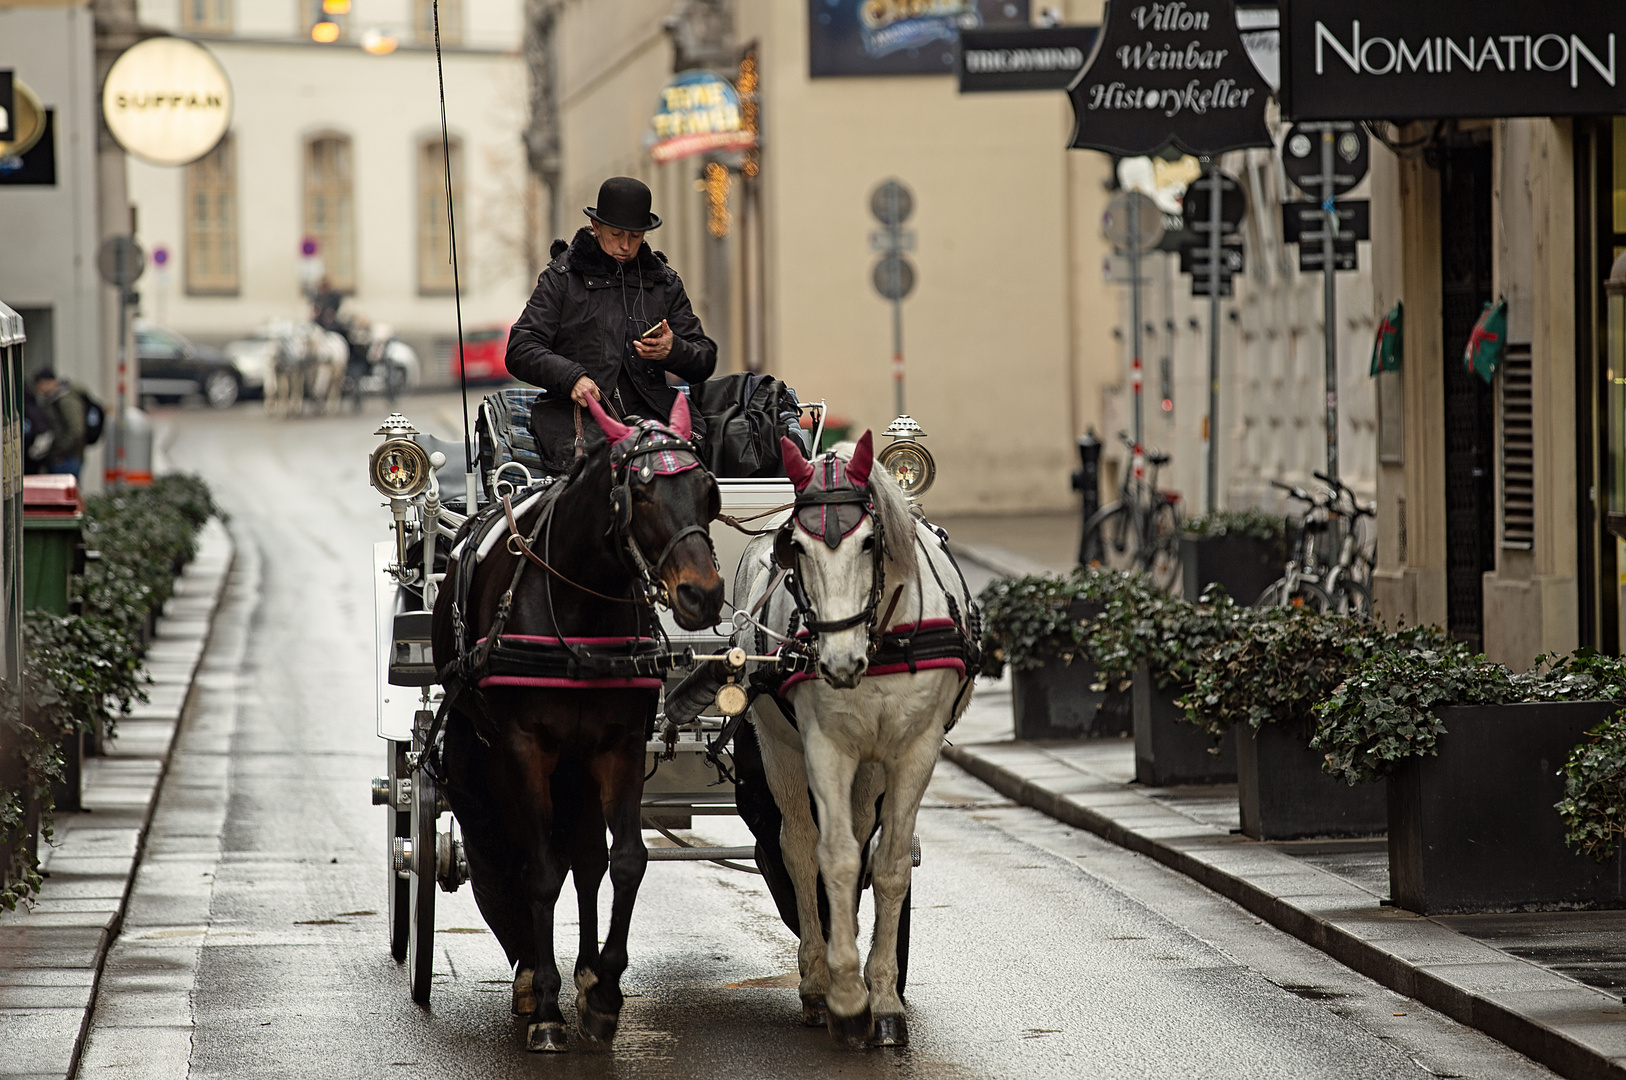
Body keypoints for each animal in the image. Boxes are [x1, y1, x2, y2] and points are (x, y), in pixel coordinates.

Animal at [432, 395, 718, 1047]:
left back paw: (584, 973)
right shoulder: (523, 748)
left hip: (578, 764)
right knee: (523, 852)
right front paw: (546, 1007)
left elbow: (625, 860)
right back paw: (533, 976)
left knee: (587, 860)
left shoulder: (618, 744)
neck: (582, 606)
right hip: (498, 752)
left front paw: (604, 991)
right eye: (641, 494)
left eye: (708, 491)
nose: (705, 595)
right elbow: (538, 867)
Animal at [738, 429, 975, 1047]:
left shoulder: (915, 751)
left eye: (869, 542)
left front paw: (885, 998)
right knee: (797, 847)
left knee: (867, 831)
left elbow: (888, 866)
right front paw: (846, 996)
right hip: (779, 746)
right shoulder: (825, 746)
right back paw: (816, 982)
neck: (879, 641)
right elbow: (836, 857)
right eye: (795, 546)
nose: (839, 662)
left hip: (871, 768)